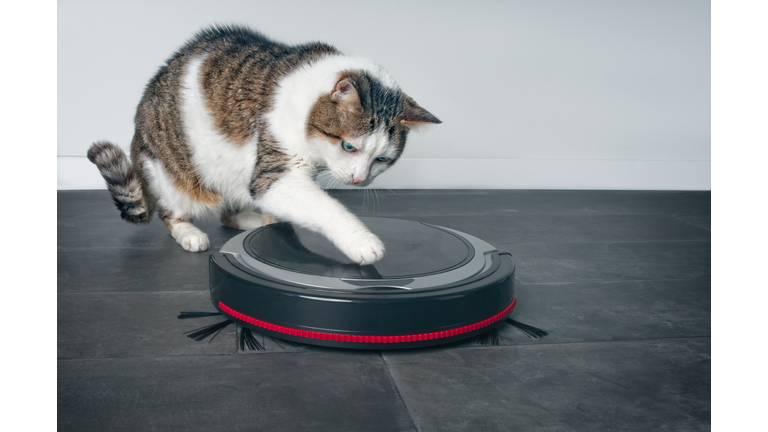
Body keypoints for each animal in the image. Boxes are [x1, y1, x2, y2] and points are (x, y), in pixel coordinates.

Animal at [87, 26, 438, 266]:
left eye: (382, 159)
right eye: (349, 147)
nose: (359, 179)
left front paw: (273, 227)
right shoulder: (275, 174)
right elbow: (325, 208)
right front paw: (361, 240)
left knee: (229, 214)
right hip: (170, 176)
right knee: (171, 213)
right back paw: (190, 233)